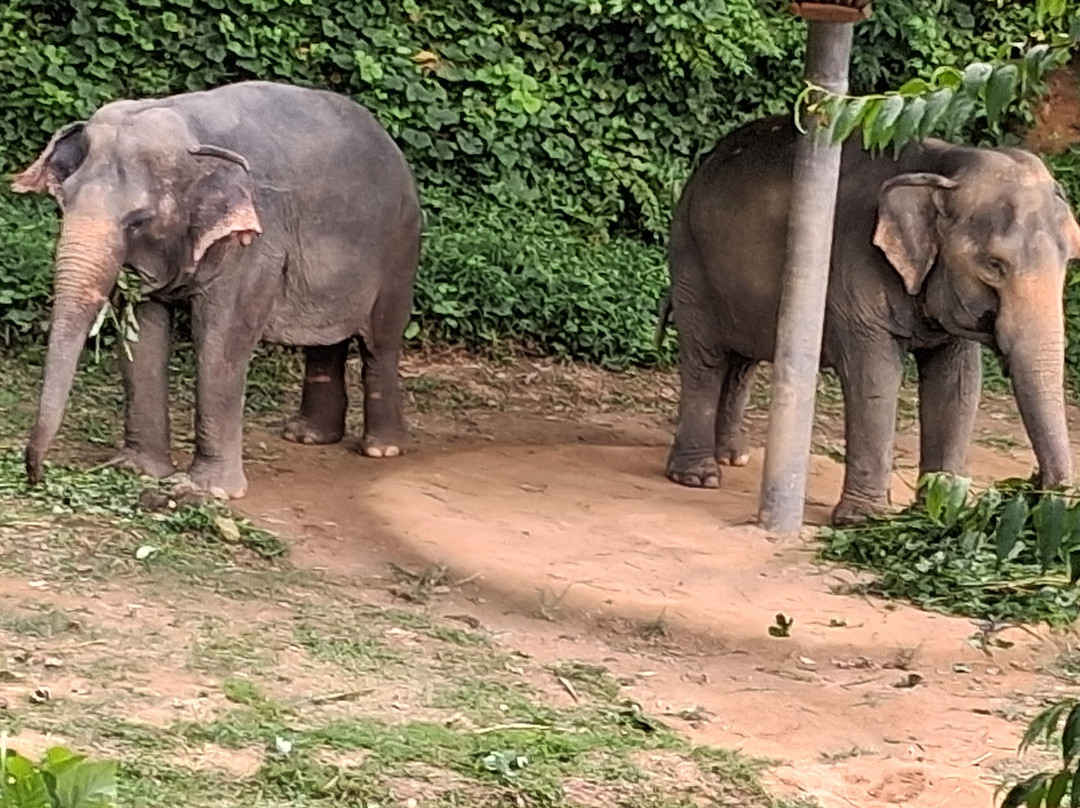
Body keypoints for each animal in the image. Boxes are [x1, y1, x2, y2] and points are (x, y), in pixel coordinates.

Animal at [12, 81, 421, 499]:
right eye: (64, 203)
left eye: (138, 221)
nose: (36, 474)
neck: (192, 133)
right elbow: (143, 336)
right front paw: (137, 470)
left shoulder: (256, 241)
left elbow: (221, 338)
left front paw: (209, 491)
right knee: (325, 340)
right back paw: (307, 436)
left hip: (400, 244)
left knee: (380, 340)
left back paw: (381, 448)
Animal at [664, 115, 1080, 525]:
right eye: (994, 265)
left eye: (1068, 261)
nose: (1038, 486)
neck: (944, 166)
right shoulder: (855, 263)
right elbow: (874, 375)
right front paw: (865, 520)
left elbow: (957, 383)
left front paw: (940, 515)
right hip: (690, 257)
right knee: (706, 357)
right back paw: (698, 476)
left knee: (741, 361)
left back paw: (733, 456)